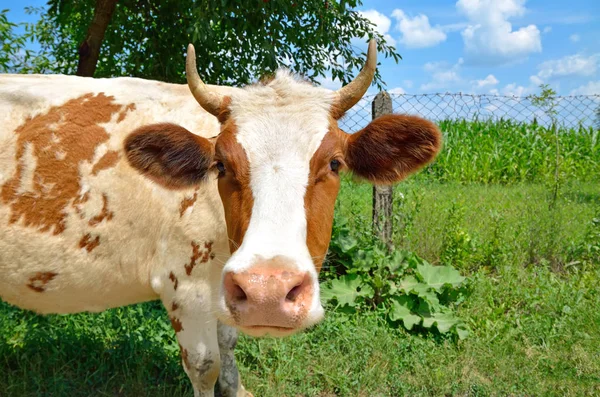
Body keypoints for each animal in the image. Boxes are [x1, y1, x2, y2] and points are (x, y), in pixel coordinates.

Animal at [0, 41, 440, 396]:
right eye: (222, 165)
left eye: (334, 163)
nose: (268, 293)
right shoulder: (186, 286)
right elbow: (205, 365)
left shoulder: (224, 287)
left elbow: (228, 347)